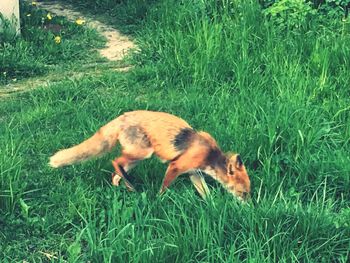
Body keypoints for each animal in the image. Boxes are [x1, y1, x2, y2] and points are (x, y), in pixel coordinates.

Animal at [50, 110, 252, 201]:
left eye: (248, 193)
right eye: (243, 193)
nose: (250, 209)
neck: (209, 155)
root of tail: (121, 117)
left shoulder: (194, 173)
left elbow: (206, 194)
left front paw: (212, 207)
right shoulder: (176, 166)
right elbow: (164, 188)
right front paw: (159, 200)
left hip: (135, 158)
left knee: (115, 172)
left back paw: (124, 187)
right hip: (143, 153)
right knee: (114, 161)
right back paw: (131, 186)